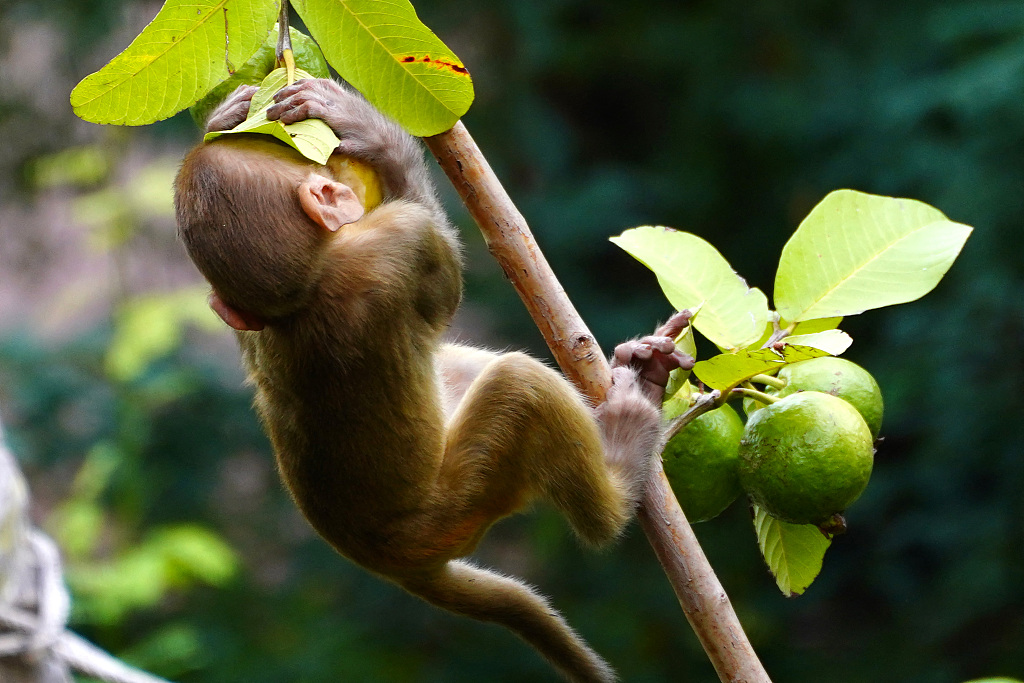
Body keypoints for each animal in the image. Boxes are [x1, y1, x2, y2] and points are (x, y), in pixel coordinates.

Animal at [176, 78, 692, 683]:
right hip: (463, 504)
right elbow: (446, 289)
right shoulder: (401, 237)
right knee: (518, 386)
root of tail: (395, 564)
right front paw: (379, 139)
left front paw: (223, 118)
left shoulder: (253, 317)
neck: (303, 295)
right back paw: (624, 462)